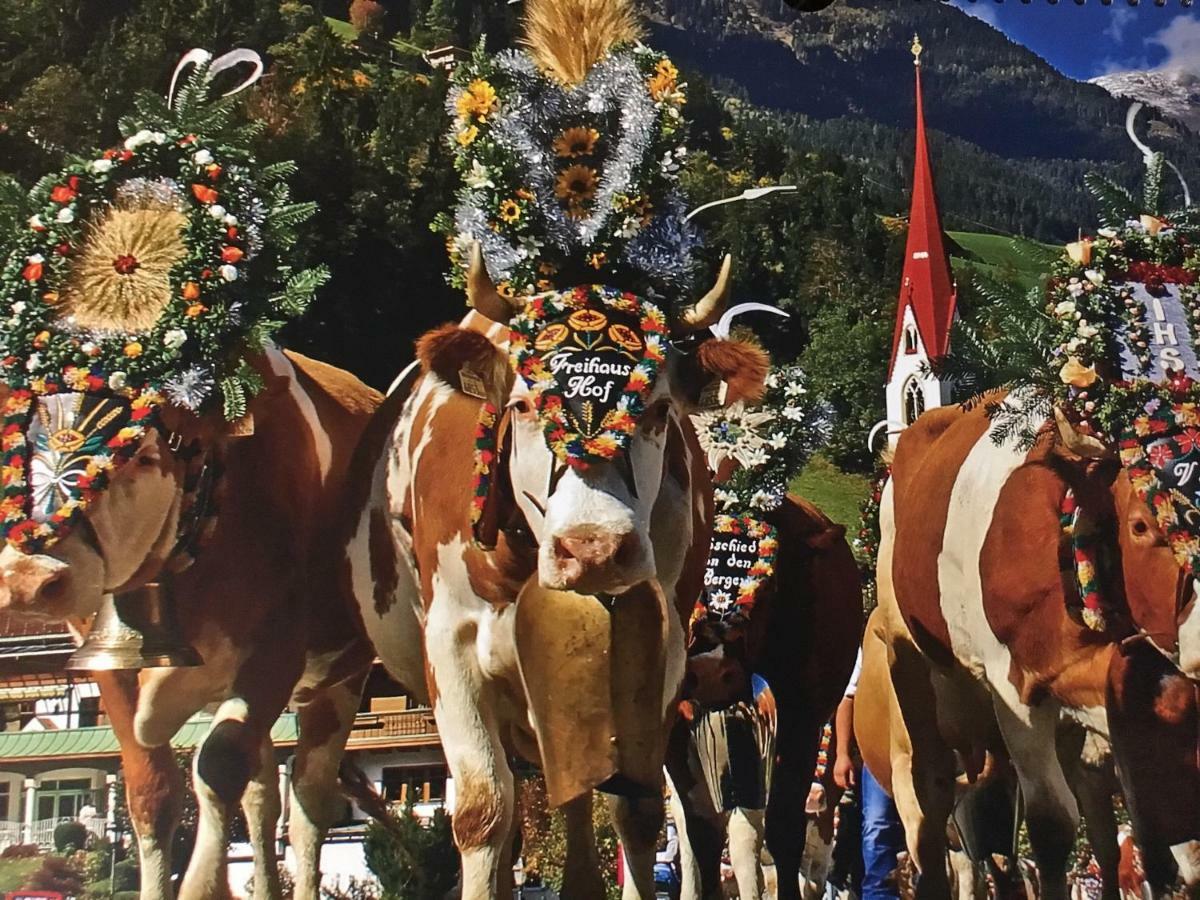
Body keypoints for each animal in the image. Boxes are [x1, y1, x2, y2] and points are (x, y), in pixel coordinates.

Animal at [0, 350, 379, 900]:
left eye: (141, 456)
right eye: (16, 445)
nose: (29, 577)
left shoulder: (276, 652)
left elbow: (217, 769)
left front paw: (202, 884)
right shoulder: (106, 663)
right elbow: (151, 792)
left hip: (337, 679)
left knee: (308, 801)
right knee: (263, 795)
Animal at [340, 250, 768, 900]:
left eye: (659, 409)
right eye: (522, 405)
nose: (594, 549)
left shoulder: (662, 649)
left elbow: (637, 809)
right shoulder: (450, 645)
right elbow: (483, 811)